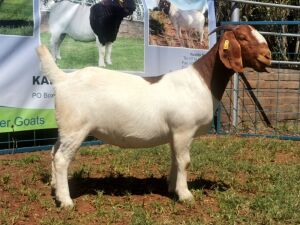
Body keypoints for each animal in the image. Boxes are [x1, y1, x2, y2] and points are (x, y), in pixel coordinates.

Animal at [37, 24, 272, 207]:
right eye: (242, 37)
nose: (268, 56)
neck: (203, 80)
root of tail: (63, 79)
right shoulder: (184, 129)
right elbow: (185, 161)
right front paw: (185, 195)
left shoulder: (175, 133)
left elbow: (175, 160)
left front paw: (171, 187)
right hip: (76, 127)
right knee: (61, 159)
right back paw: (66, 201)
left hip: (66, 127)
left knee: (53, 150)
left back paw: (54, 187)